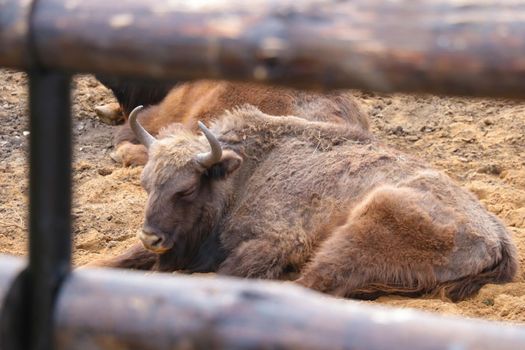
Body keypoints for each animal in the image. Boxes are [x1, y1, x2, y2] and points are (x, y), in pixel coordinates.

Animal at [90, 103, 516, 300]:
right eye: (145, 184)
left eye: (186, 190)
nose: (152, 237)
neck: (242, 173)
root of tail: (496, 236)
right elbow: (118, 259)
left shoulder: (275, 242)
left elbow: (229, 272)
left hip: (365, 224)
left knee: (311, 283)